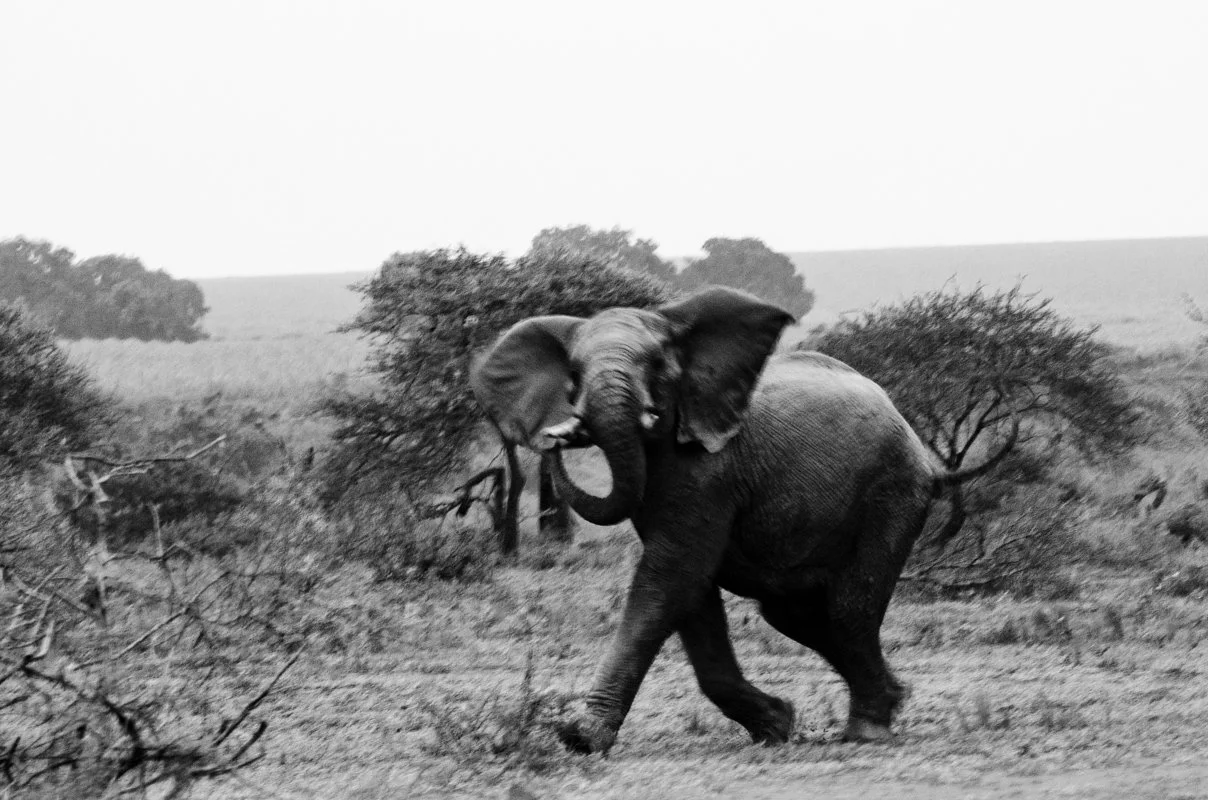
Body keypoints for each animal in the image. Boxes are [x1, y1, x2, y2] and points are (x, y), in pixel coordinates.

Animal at [470, 286, 1014, 753]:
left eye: (659, 365)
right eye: (575, 372)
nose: (556, 437)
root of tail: (924, 452)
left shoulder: (710, 472)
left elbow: (671, 578)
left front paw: (581, 737)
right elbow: (690, 591)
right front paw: (777, 726)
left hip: (893, 493)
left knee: (848, 610)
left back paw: (868, 730)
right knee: (793, 614)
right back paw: (893, 701)